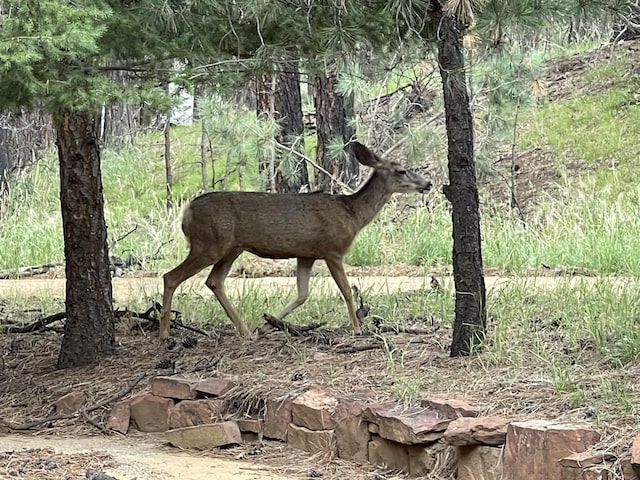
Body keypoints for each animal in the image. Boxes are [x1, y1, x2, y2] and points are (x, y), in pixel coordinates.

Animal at [159, 141, 436, 340]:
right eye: (401, 170)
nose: (428, 183)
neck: (353, 215)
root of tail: (186, 213)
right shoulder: (332, 250)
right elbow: (346, 291)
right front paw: (357, 328)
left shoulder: (306, 254)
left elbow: (302, 294)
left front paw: (267, 324)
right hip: (208, 244)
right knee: (170, 276)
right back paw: (164, 333)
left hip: (231, 248)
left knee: (214, 281)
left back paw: (246, 332)